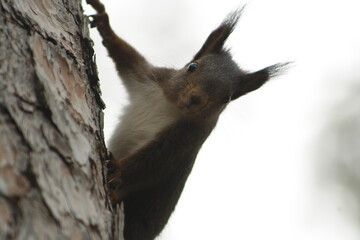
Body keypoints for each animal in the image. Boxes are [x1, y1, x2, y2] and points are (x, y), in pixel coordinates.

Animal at [86, 0, 288, 239]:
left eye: (227, 98)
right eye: (193, 66)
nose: (195, 99)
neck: (173, 106)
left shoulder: (186, 137)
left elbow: (152, 162)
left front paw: (117, 167)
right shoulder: (149, 78)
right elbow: (126, 57)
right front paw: (104, 24)